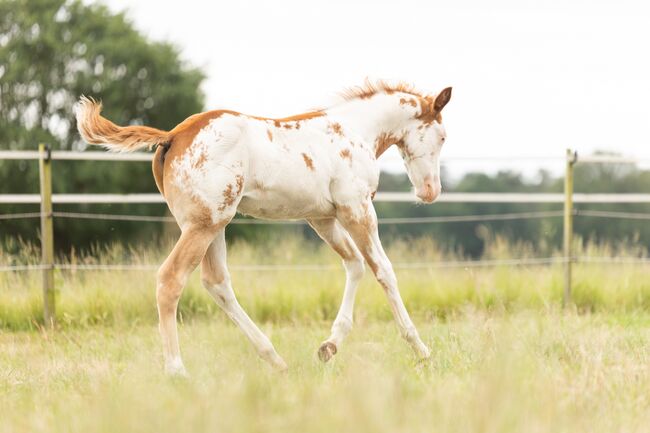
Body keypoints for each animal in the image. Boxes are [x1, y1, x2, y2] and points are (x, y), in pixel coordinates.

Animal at [76, 81, 450, 374]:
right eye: (443, 136)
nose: (430, 192)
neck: (354, 130)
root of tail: (174, 135)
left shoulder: (322, 217)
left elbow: (354, 265)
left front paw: (329, 346)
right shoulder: (357, 209)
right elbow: (383, 270)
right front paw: (421, 350)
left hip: (214, 225)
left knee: (217, 283)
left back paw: (274, 358)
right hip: (203, 226)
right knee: (171, 280)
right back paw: (177, 370)